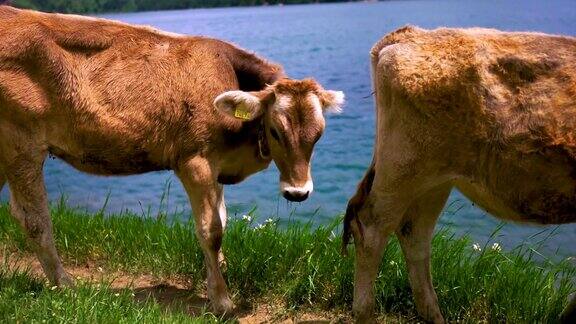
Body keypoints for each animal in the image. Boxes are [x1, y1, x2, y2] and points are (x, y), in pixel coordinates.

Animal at [0, 5, 342, 314]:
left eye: (319, 134)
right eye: (275, 130)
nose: (298, 192)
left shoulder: (217, 165)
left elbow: (222, 219)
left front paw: (219, 271)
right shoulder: (195, 161)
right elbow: (211, 230)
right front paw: (221, 300)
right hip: (20, 142)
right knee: (34, 219)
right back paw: (65, 285)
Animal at [344, 26, 572, 324]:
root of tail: (409, 34)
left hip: (435, 180)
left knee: (413, 233)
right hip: (404, 168)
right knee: (372, 227)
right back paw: (365, 311)